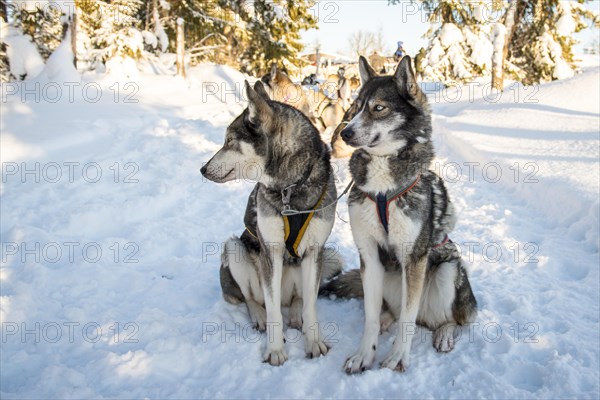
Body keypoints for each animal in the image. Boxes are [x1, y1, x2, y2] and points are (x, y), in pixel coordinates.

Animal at [202, 80, 340, 366]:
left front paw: (314, 342)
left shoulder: (315, 251)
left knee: (299, 299)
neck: (290, 188)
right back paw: (259, 317)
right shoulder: (271, 252)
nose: (203, 169)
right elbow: (274, 310)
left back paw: (296, 313)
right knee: (253, 300)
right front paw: (275, 350)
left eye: (229, 141)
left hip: (316, 264)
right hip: (234, 249)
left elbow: (311, 305)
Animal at [328, 54, 474, 374]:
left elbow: (408, 319)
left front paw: (397, 357)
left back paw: (444, 333)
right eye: (356, 107)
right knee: (392, 312)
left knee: (451, 319)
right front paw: (364, 354)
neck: (383, 188)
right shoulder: (369, 255)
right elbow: (370, 317)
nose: (345, 132)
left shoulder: (413, 258)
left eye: (379, 107)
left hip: (448, 269)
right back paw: (385, 320)